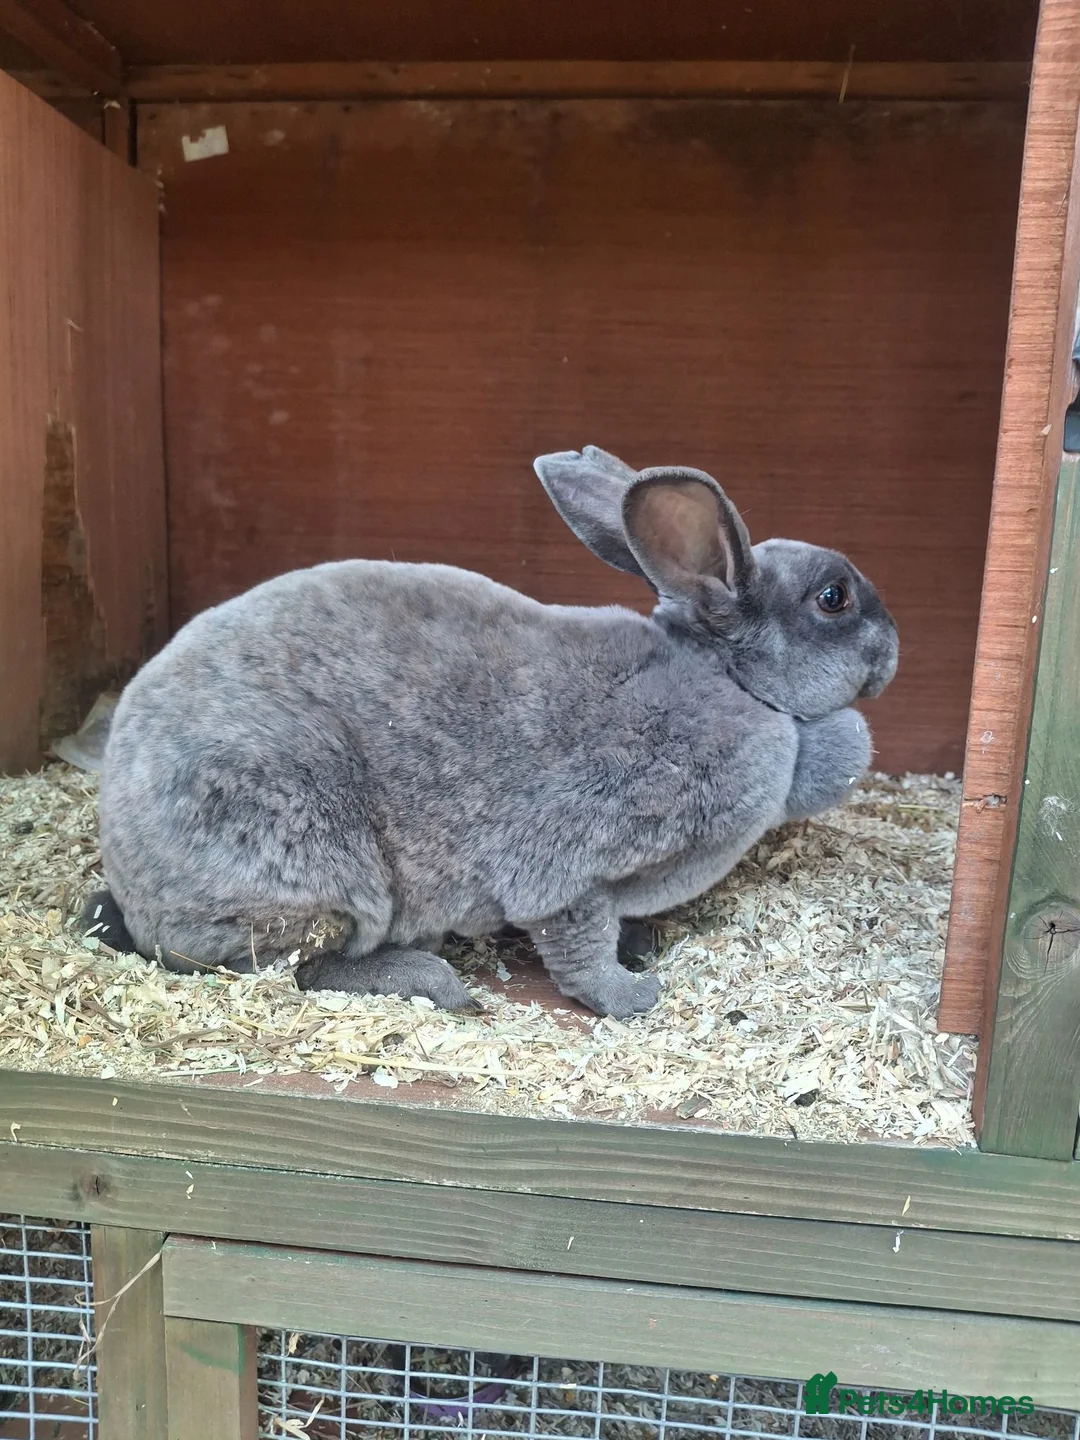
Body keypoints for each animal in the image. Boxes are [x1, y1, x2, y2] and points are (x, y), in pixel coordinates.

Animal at [85, 446, 898, 1018]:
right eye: (833, 598)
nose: (893, 650)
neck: (730, 682)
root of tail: (133, 888)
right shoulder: (570, 871)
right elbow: (578, 948)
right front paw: (631, 995)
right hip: (309, 857)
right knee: (303, 965)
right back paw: (435, 981)